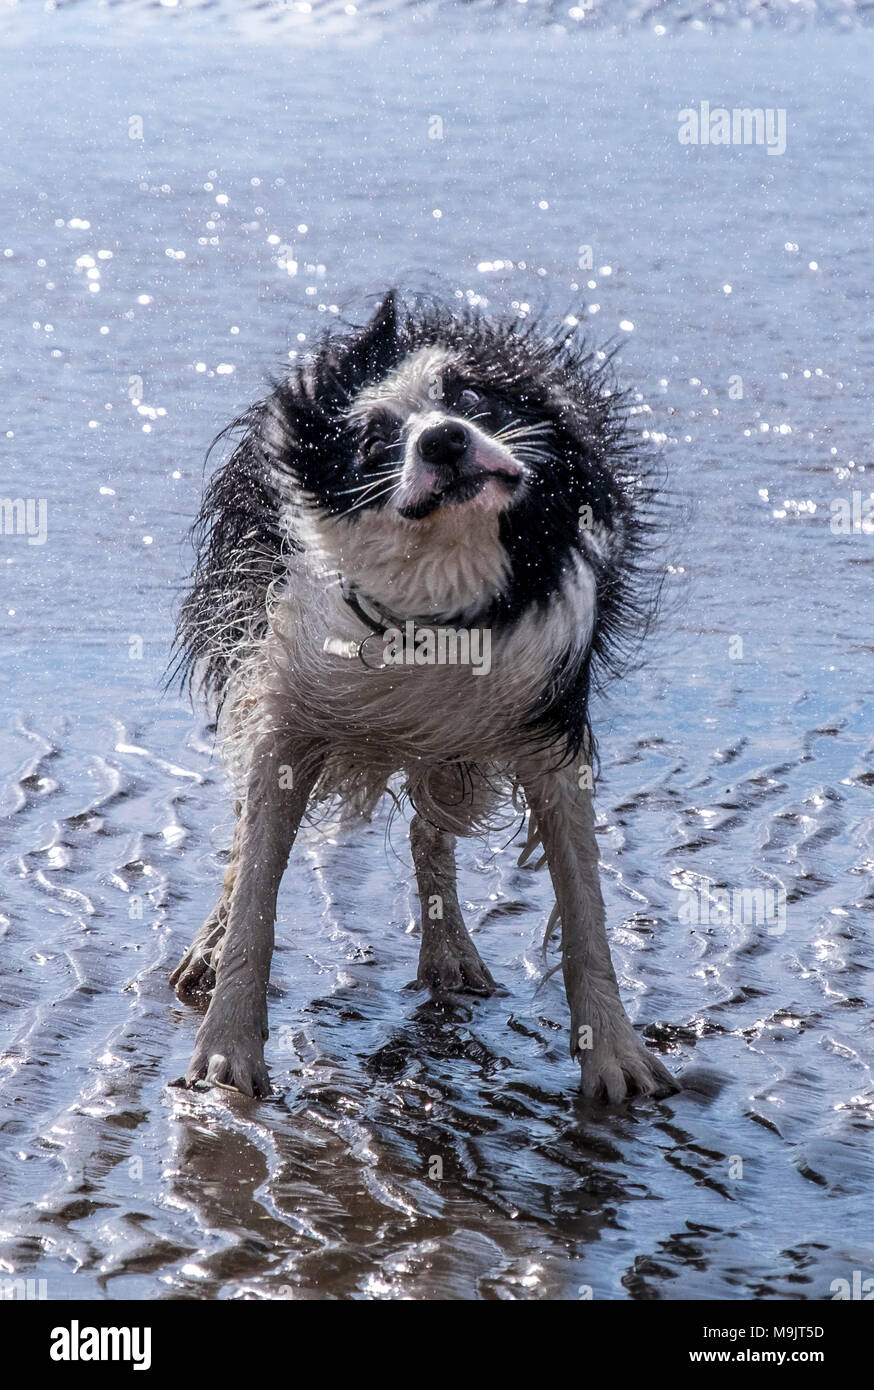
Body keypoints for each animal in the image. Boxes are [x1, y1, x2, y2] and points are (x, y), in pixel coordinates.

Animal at [168, 296, 675, 1106]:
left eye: (471, 400)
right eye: (374, 440)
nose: (442, 439)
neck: (443, 598)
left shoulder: (548, 729)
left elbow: (586, 911)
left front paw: (616, 1056)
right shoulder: (289, 705)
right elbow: (256, 885)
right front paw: (226, 1052)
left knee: (430, 827)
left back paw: (450, 953)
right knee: (245, 834)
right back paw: (206, 950)